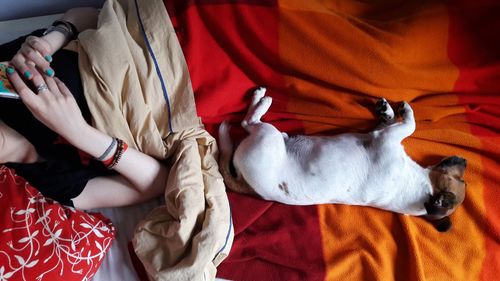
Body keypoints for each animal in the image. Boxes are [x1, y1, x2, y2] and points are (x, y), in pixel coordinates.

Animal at [220, 86, 468, 231]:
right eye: (462, 179)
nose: (465, 160)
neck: (422, 193)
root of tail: (245, 183)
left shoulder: (385, 138)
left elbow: (410, 124)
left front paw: (404, 111)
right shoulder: (381, 134)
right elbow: (393, 122)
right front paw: (386, 110)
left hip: (267, 136)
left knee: (248, 122)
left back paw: (261, 100)